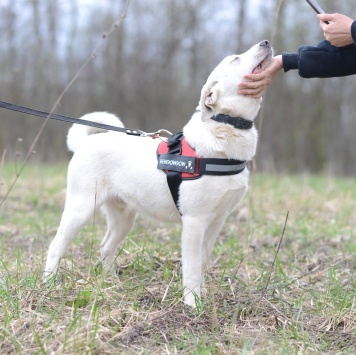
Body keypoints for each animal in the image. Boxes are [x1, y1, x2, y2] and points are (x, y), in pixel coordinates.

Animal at [44, 40, 272, 308]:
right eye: (235, 59)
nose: (265, 42)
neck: (225, 127)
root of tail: (84, 143)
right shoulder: (194, 222)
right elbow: (192, 268)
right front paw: (192, 305)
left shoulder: (218, 220)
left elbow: (203, 262)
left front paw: (203, 295)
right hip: (81, 210)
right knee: (56, 245)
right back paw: (48, 284)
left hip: (124, 218)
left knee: (105, 247)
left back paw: (110, 283)